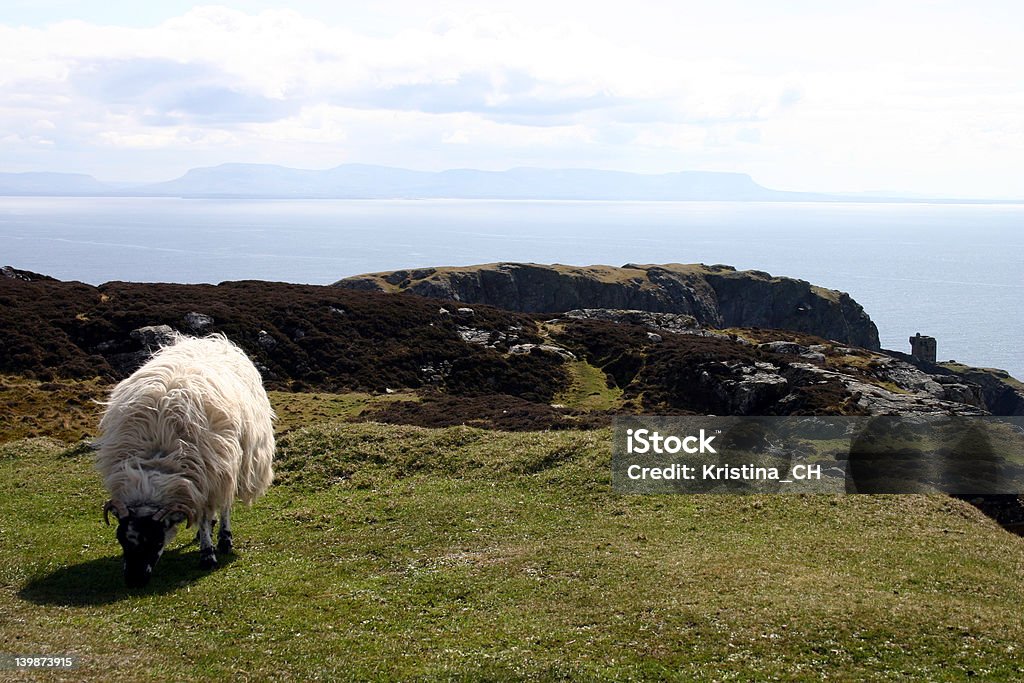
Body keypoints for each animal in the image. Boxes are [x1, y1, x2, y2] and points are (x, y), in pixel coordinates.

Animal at [96, 333, 276, 585]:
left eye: (157, 541)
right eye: (121, 539)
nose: (134, 581)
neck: (157, 460)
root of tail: (210, 340)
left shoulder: (210, 474)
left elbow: (206, 515)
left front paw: (208, 555)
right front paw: (205, 540)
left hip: (231, 463)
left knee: (225, 504)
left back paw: (224, 538)